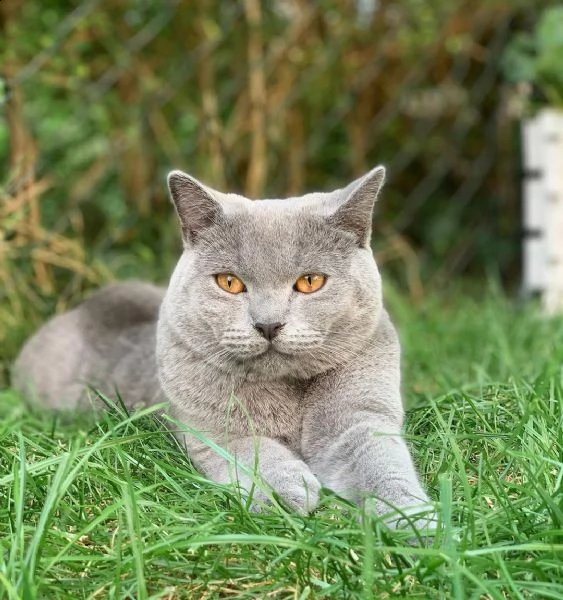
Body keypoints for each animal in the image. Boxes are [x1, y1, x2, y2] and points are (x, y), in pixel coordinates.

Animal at [15, 166, 434, 528]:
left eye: (311, 281)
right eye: (230, 283)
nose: (268, 324)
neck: (287, 394)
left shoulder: (362, 414)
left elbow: (379, 461)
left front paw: (413, 522)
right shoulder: (211, 432)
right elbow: (254, 452)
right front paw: (284, 495)